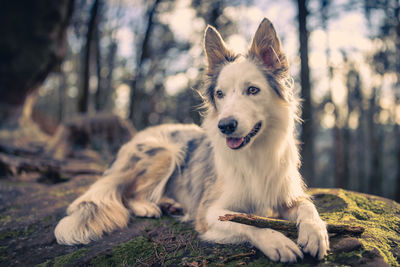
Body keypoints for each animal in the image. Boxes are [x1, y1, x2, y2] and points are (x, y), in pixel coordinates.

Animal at [55, 17, 328, 264]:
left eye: (252, 90)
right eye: (220, 94)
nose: (224, 126)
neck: (254, 154)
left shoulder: (288, 195)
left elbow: (308, 207)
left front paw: (315, 232)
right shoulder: (208, 213)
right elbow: (250, 224)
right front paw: (277, 241)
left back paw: (170, 204)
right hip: (165, 152)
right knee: (128, 193)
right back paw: (148, 207)